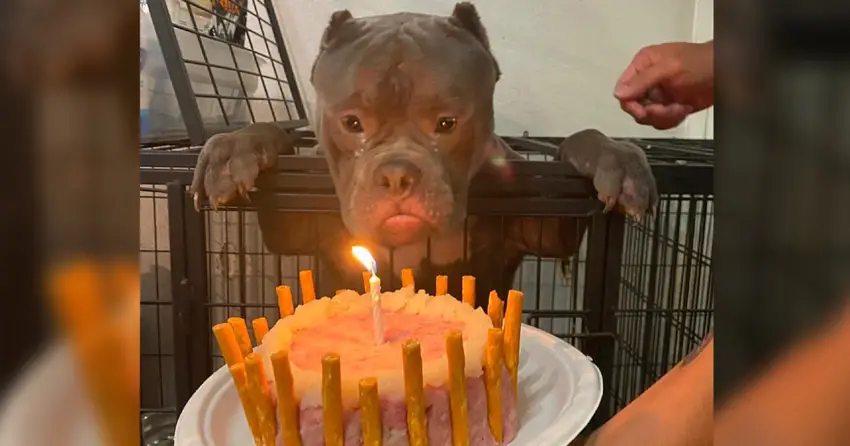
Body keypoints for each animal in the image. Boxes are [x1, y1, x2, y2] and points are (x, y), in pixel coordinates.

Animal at [192, 3, 656, 308]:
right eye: (352, 122)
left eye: (447, 123)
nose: (397, 174)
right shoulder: (296, 225)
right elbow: (279, 137)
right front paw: (235, 148)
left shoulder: (542, 225)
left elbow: (578, 143)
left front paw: (615, 156)